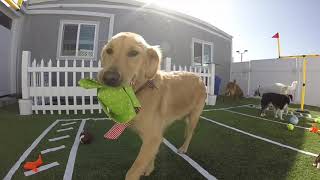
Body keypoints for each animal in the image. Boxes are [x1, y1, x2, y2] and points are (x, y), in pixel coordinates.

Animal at [98, 32, 208, 180]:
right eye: (109, 51)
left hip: (194, 116)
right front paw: (149, 169)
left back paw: (183, 148)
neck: (141, 91)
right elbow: (149, 156)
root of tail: (199, 77)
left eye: (134, 53)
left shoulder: (152, 137)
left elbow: (133, 171)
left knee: (190, 133)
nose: (109, 78)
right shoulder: (150, 137)